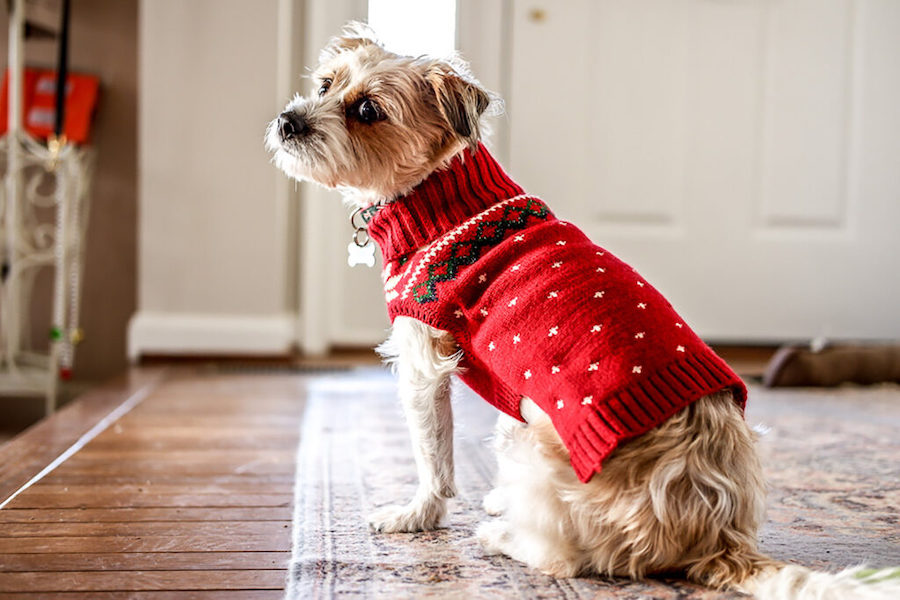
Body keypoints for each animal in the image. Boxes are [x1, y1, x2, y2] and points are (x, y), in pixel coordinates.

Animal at [268, 21, 900, 596]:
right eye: (324, 83)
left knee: (566, 560)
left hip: (535, 443)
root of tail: (718, 537)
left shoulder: (425, 367)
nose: (288, 122)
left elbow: (434, 457)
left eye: (367, 109)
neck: (445, 201)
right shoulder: (506, 385)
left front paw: (418, 515)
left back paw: (503, 537)